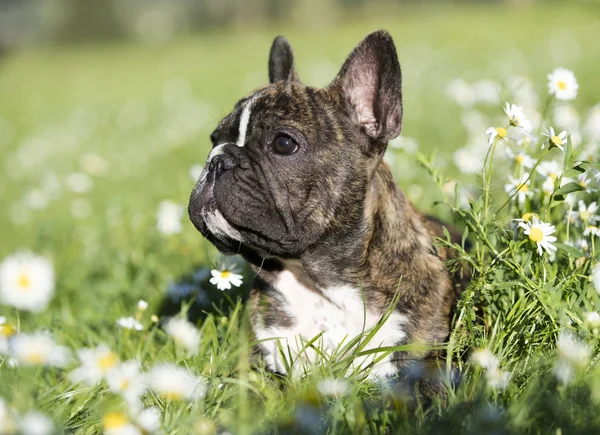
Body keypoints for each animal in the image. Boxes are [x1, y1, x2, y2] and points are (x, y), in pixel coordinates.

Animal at [190, 29, 462, 378]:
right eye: (214, 140)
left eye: (283, 143)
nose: (218, 160)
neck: (320, 283)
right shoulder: (257, 370)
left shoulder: (425, 366)